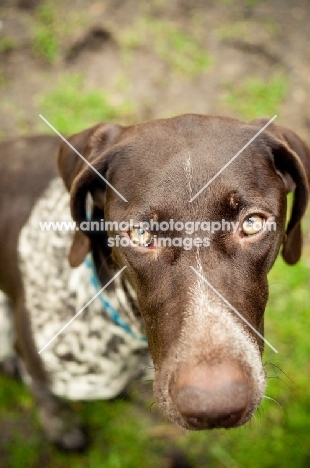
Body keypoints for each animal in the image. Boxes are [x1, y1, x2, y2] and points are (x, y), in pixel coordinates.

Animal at [0, 114, 308, 450]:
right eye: (141, 234)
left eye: (252, 223)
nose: (214, 405)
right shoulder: (38, 366)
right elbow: (48, 400)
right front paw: (62, 428)